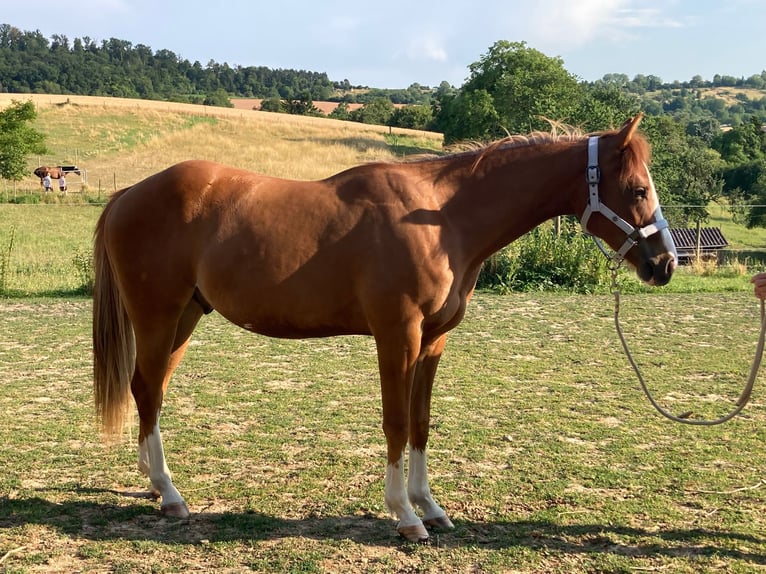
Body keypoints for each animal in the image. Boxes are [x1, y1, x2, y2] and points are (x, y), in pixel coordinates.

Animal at [92, 114, 677, 543]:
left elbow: (420, 423)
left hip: (186, 317)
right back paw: (170, 494)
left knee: (150, 390)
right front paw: (405, 516)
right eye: (637, 189)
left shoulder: (434, 341)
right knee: (146, 389)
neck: (441, 218)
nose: (665, 264)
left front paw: (431, 507)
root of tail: (128, 194)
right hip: (158, 314)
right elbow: (395, 423)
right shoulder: (399, 335)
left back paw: (153, 484)